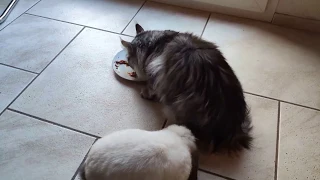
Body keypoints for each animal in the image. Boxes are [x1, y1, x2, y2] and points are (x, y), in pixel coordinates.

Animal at [120, 24, 252, 153]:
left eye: (128, 58)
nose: (129, 63)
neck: (156, 44)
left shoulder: (155, 72)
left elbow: (151, 87)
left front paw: (146, 93)